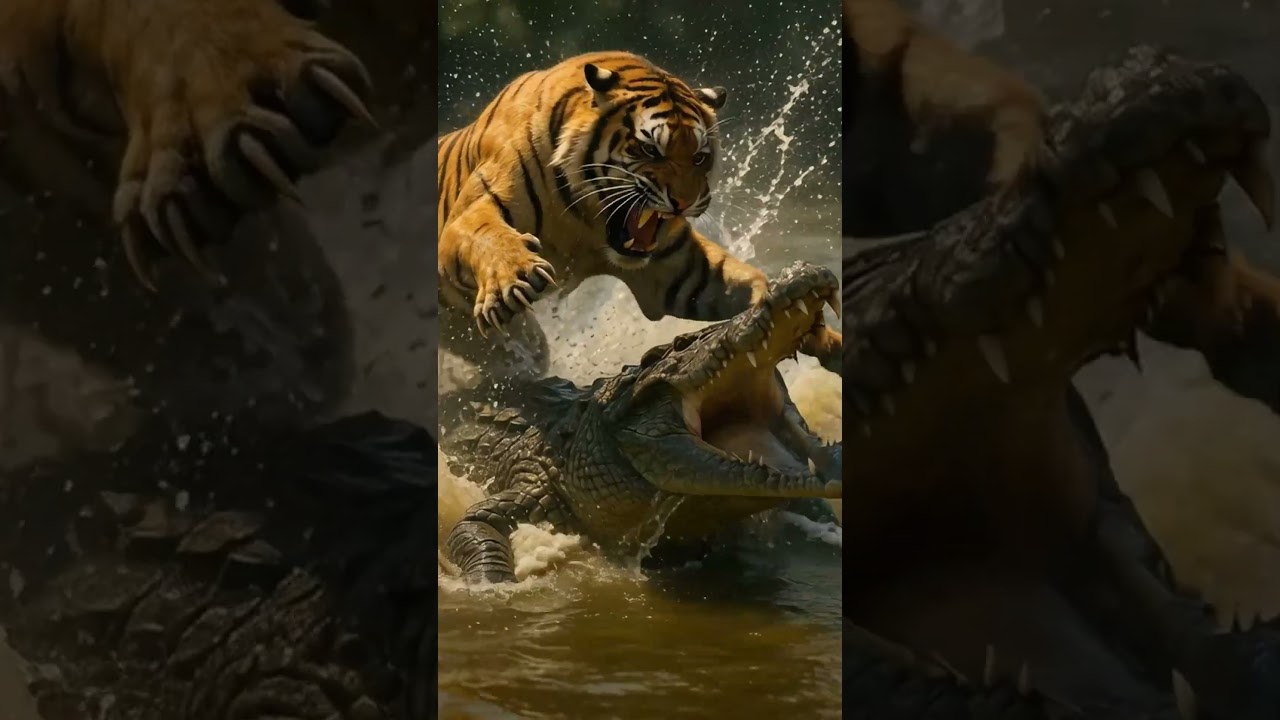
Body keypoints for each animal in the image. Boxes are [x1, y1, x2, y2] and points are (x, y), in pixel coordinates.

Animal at [437, 51, 843, 380]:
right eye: (650, 149)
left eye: (700, 156)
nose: (684, 202)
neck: (583, 220)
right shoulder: (468, 216)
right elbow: (488, 234)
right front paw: (515, 279)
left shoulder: (678, 269)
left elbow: (743, 280)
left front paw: (804, 321)